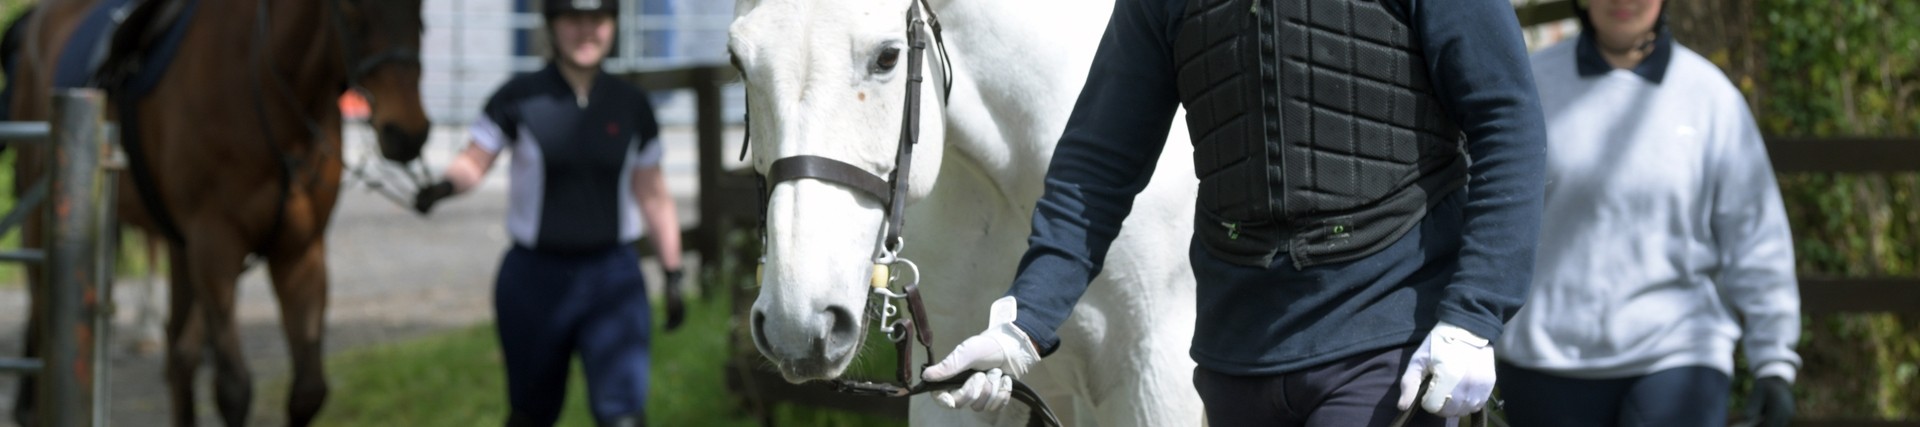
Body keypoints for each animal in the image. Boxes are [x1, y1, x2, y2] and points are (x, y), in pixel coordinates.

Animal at [3, 0, 430, 423]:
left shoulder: (299, 252)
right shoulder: (215, 248)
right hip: (43, 207)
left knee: (178, 355)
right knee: (44, 307)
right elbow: (233, 389)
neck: (262, 86)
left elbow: (308, 391)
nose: (407, 132)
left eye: (421, 17)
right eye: (352, 12)